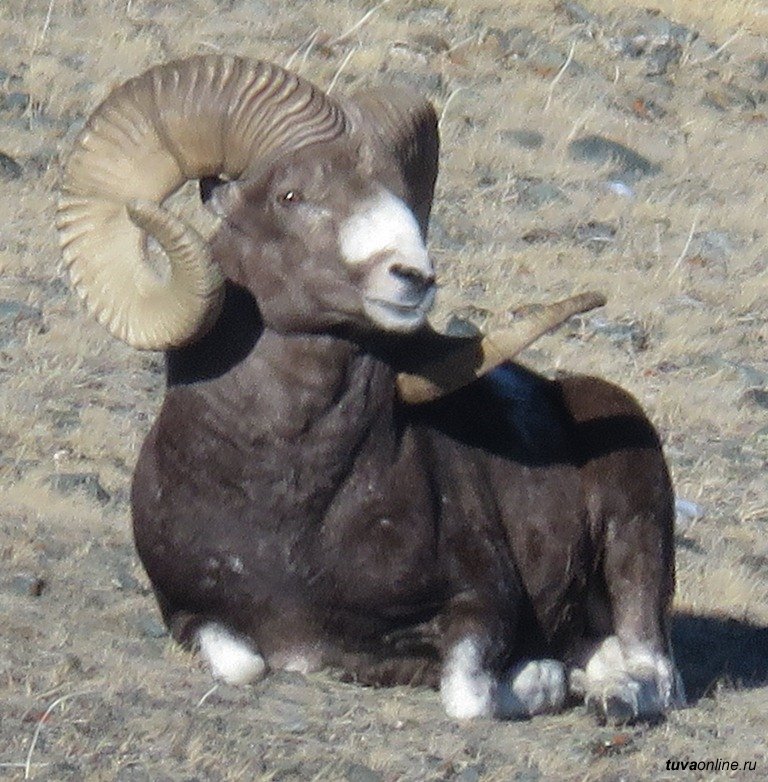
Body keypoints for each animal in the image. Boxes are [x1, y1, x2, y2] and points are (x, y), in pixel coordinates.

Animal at [56, 54, 684, 723]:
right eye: (291, 195)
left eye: (403, 198)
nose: (414, 277)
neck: (286, 499)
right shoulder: (189, 613)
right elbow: (242, 664)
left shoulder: (482, 601)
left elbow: (467, 695)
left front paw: (539, 679)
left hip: (633, 532)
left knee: (653, 665)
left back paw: (611, 697)